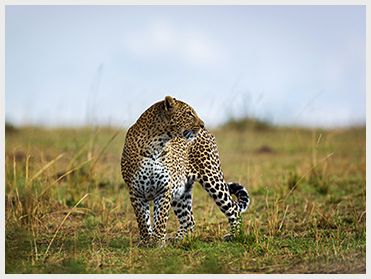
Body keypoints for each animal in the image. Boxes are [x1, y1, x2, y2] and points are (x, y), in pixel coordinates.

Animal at [120, 95, 251, 247]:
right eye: (189, 113)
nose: (202, 124)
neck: (156, 145)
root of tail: (208, 132)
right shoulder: (135, 191)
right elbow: (142, 220)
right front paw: (146, 241)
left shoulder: (164, 188)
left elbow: (160, 218)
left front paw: (157, 242)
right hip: (181, 191)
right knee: (189, 220)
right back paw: (179, 239)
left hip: (212, 177)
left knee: (233, 209)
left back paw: (234, 235)